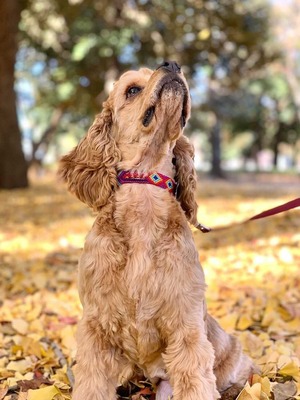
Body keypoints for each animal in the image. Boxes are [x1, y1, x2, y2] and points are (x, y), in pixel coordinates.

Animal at [59, 61, 255, 400]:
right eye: (132, 89)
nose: (172, 64)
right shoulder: (96, 325)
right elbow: (92, 385)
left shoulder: (186, 324)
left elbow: (196, 383)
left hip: (230, 353)